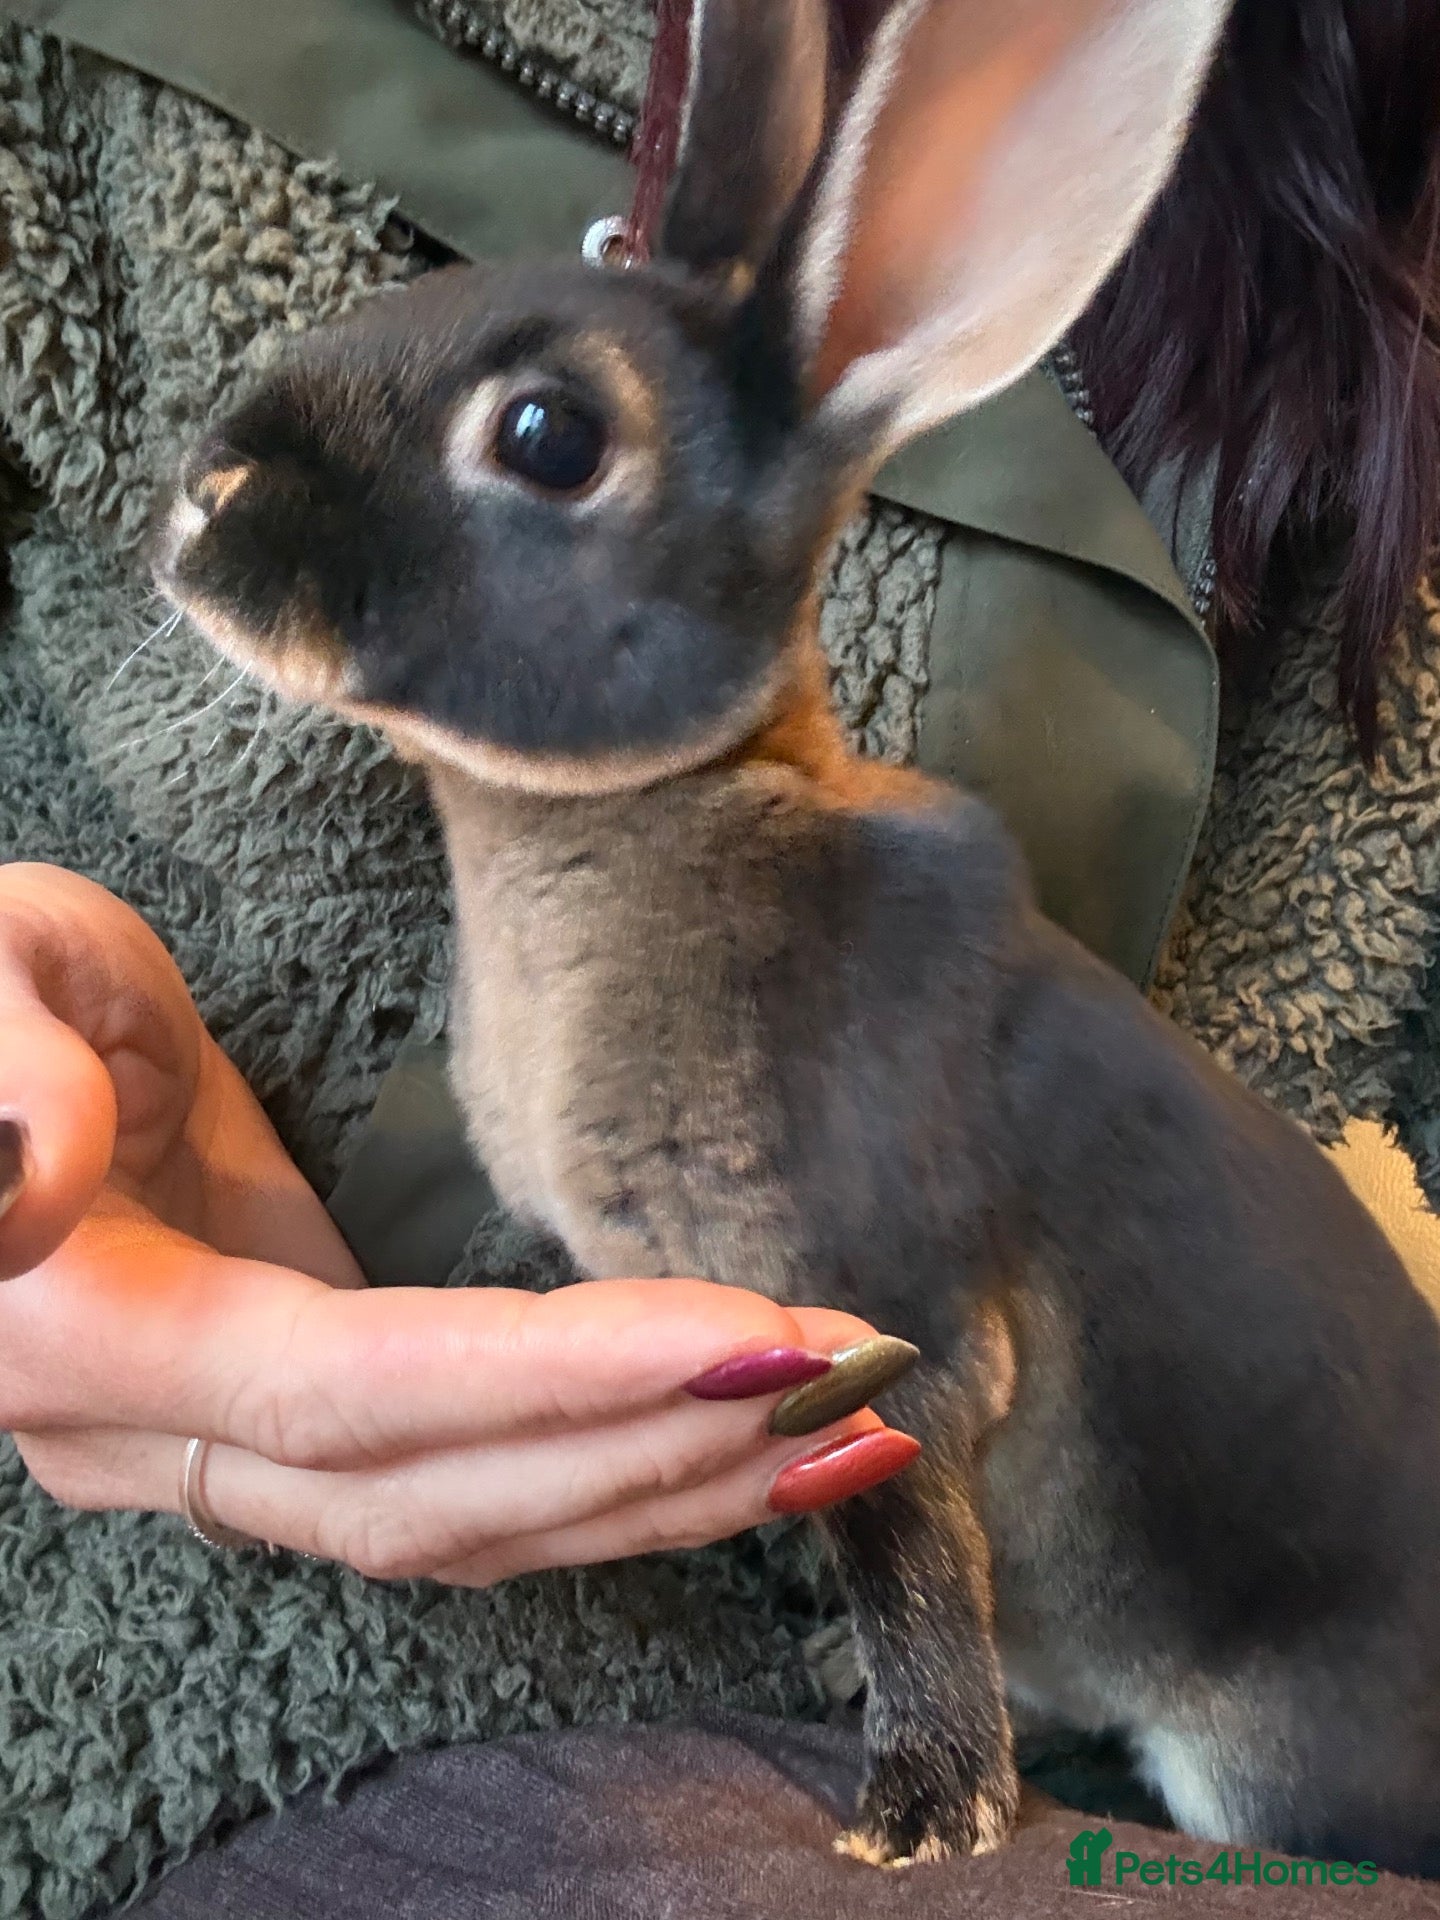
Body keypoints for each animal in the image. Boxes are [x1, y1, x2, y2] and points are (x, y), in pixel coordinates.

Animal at [154, 0, 1440, 1878]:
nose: (205, 497)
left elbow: (911, 1550)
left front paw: (926, 1813)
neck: (662, 803)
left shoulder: (881, 1319)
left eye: (546, 435)